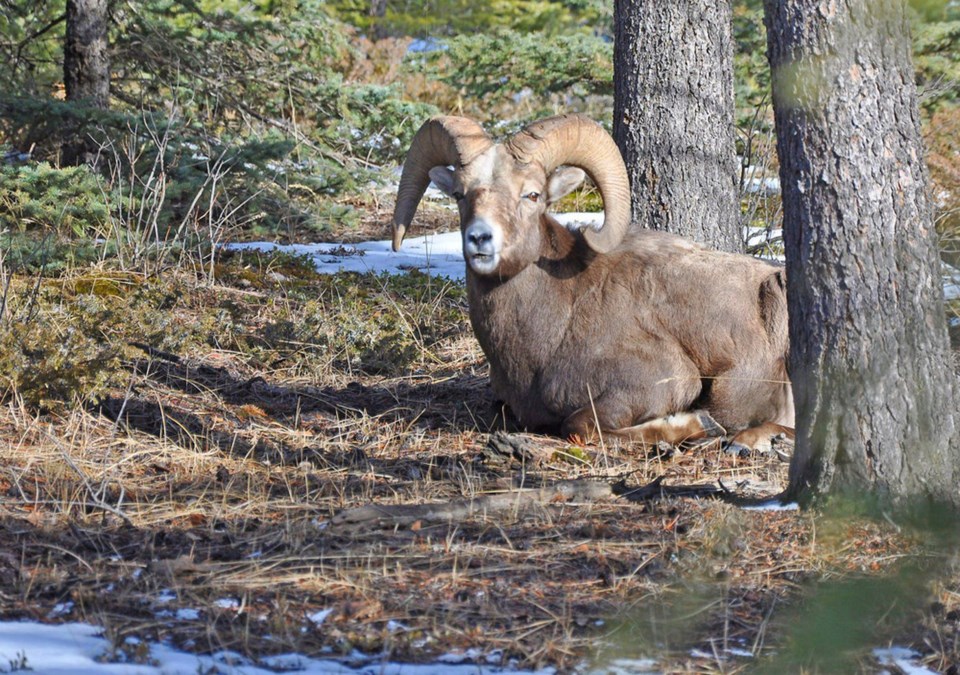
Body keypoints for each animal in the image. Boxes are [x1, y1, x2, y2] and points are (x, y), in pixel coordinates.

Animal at [390, 115, 796, 454]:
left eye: (532, 194)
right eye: (460, 194)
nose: (479, 239)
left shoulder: (661, 382)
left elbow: (580, 425)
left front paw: (695, 425)